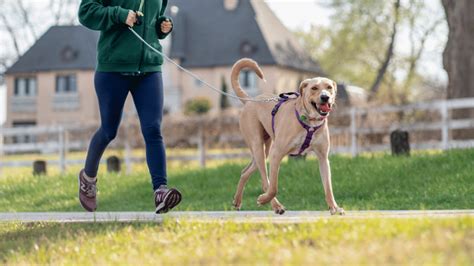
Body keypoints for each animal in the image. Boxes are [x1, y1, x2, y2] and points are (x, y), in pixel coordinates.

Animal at [231, 57, 344, 215]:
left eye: (329, 87)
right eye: (314, 88)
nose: (325, 97)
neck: (309, 122)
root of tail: (250, 100)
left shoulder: (323, 158)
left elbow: (328, 187)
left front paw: (334, 207)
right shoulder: (277, 153)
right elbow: (274, 187)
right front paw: (264, 200)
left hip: (264, 150)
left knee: (245, 172)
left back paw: (237, 201)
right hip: (258, 146)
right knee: (265, 182)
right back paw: (274, 205)